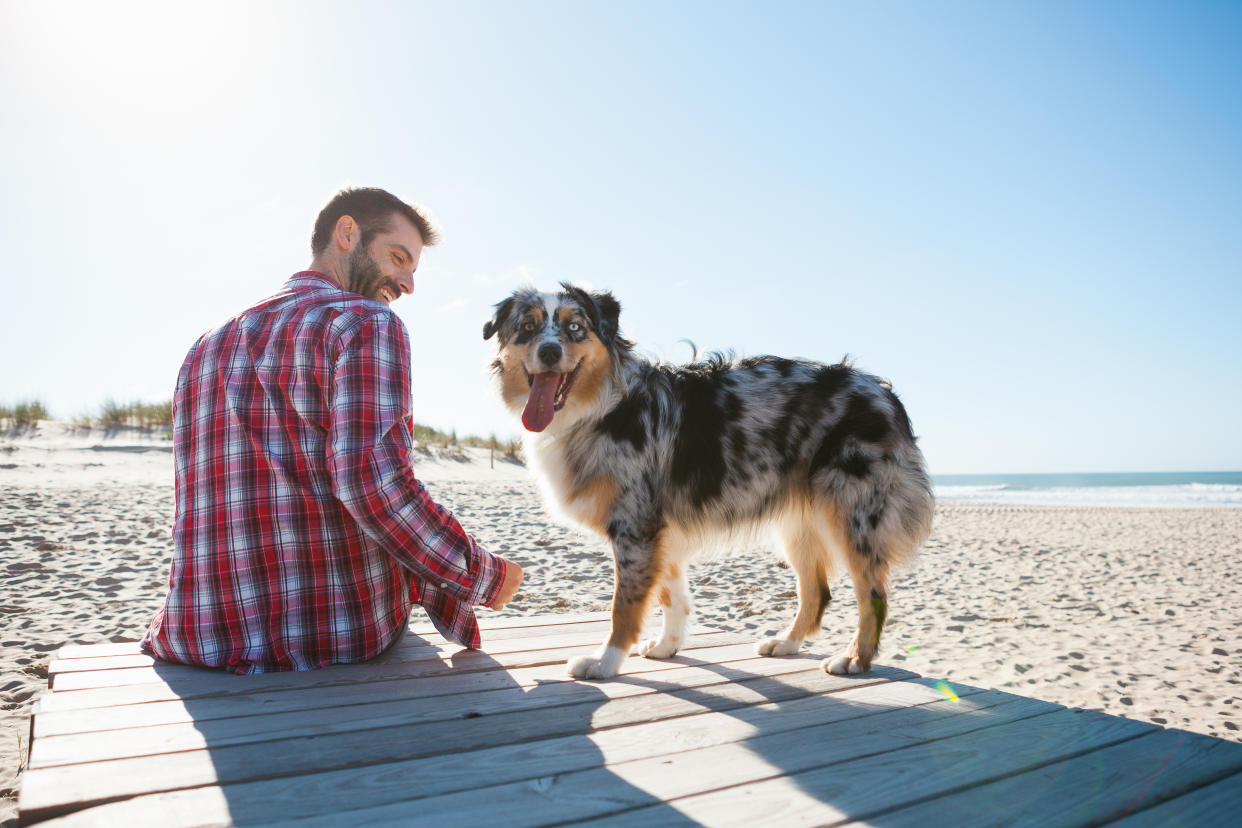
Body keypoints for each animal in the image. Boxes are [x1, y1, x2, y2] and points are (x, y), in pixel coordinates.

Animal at [481, 285, 933, 680]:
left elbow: (625, 606)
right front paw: (668, 646)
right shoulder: (659, 531)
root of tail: (883, 392)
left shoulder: (635, 526)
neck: (602, 405)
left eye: (575, 327)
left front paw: (605, 663)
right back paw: (786, 643)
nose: (550, 351)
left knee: (872, 595)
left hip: (852, 515)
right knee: (817, 591)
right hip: (798, 522)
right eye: (527, 328)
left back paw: (856, 659)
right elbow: (672, 595)